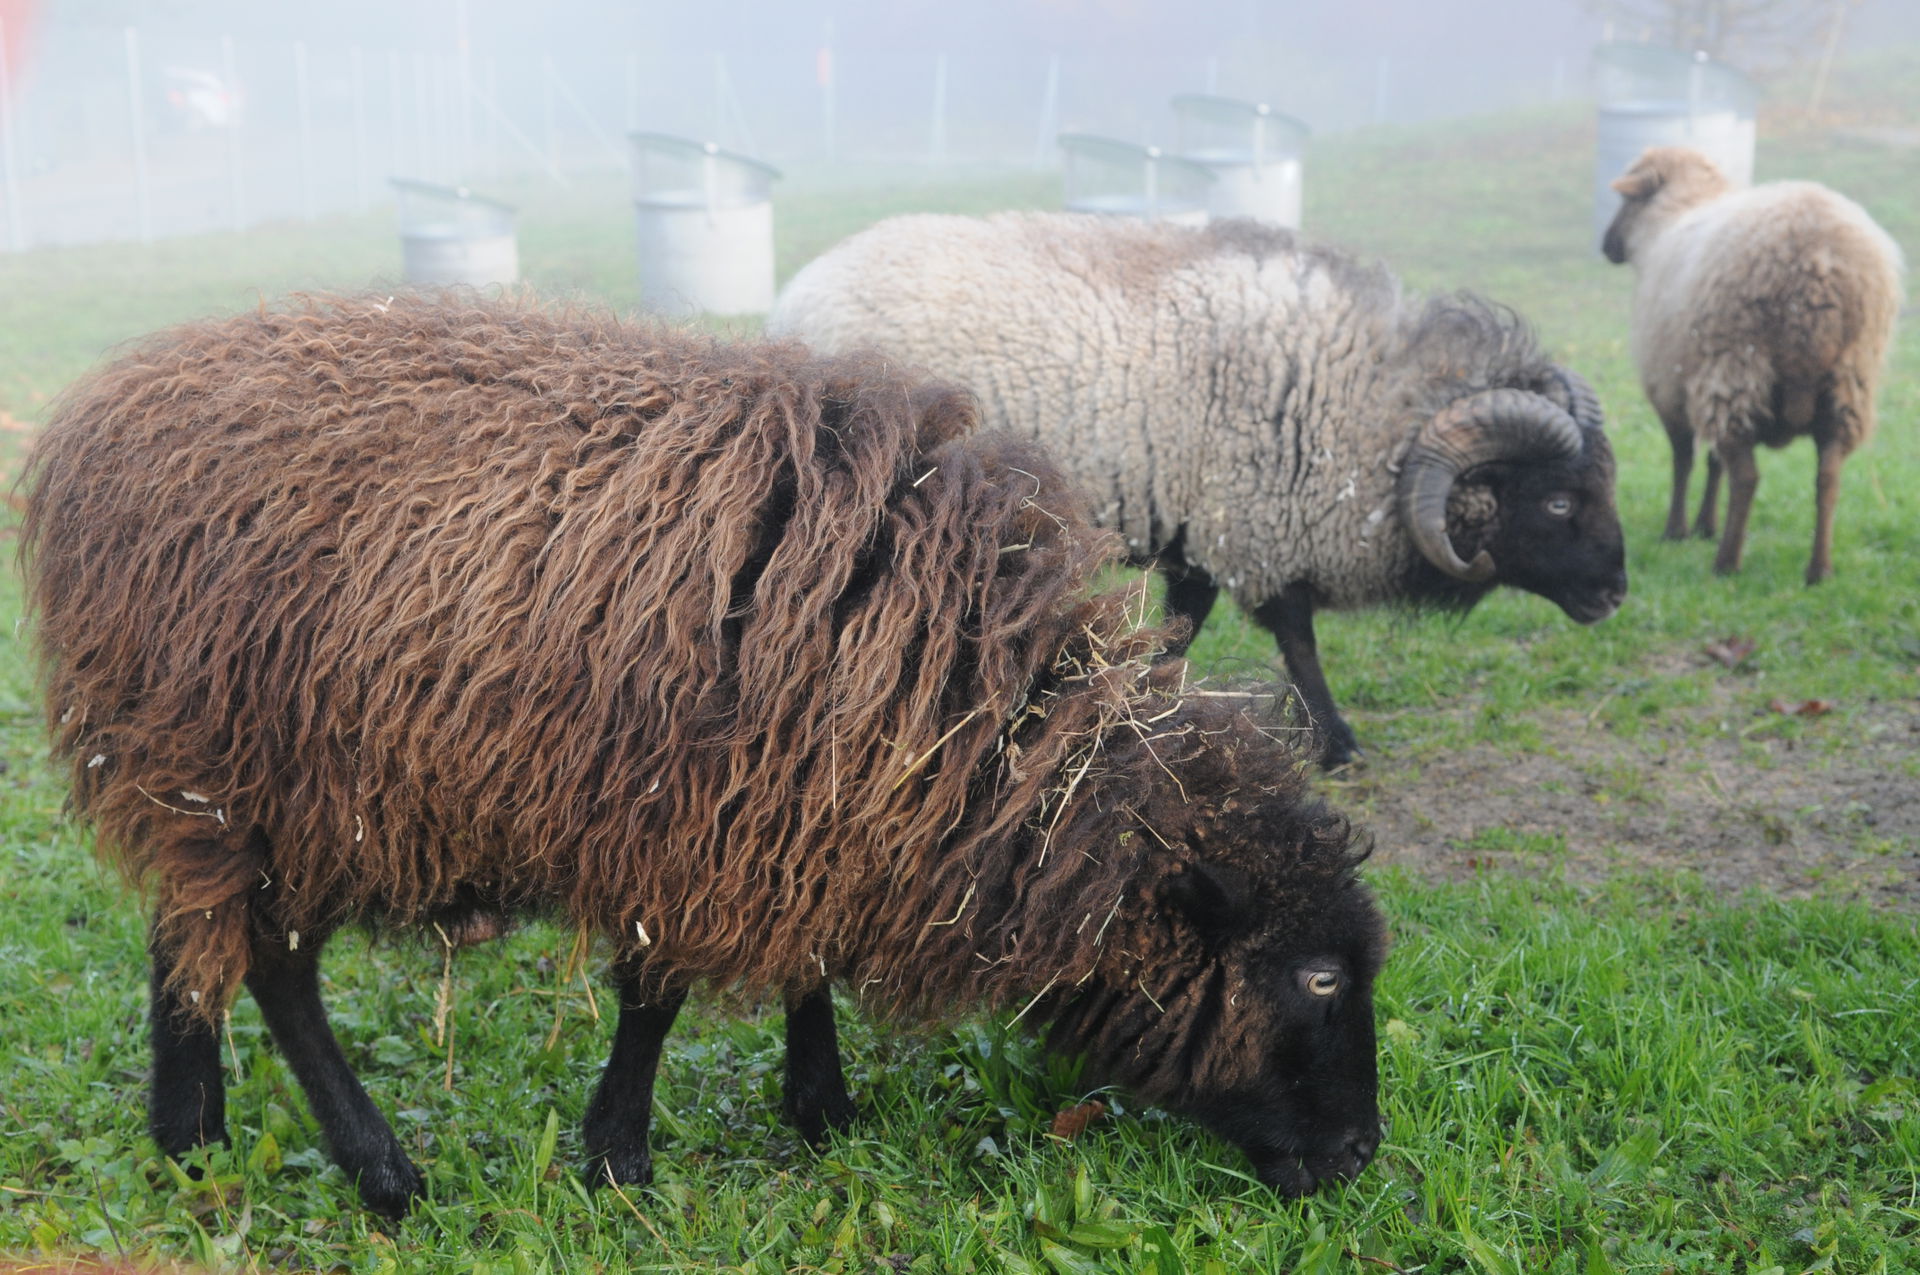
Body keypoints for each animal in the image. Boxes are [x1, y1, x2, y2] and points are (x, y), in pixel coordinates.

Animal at [21, 293, 1389, 1218]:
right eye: (1318, 977)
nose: (1365, 1155)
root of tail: (88, 421)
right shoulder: (686, 820)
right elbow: (655, 999)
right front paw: (621, 1159)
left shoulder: (810, 802)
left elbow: (805, 961)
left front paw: (821, 1109)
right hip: (271, 777)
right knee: (276, 968)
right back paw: (381, 1171)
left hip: (194, 784)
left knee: (186, 939)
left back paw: (189, 1136)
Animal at [767, 212, 1628, 767]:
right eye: (1557, 501)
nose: (1616, 594)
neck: (1363, 404)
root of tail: (794, 299)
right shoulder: (1251, 523)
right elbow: (1296, 638)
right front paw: (1338, 744)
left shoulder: (1198, 529)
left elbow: (1184, 626)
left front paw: (1153, 705)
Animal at [1602, 145, 1905, 583]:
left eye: (1627, 200)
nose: (1606, 246)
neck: (1675, 213)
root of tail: (1820, 265)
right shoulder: (1696, 389)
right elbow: (1713, 463)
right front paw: (1705, 525)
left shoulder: (1669, 391)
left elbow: (1684, 461)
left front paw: (1677, 531)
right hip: (1848, 383)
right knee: (1827, 478)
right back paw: (1819, 569)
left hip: (1736, 370)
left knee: (1747, 477)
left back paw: (1727, 562)